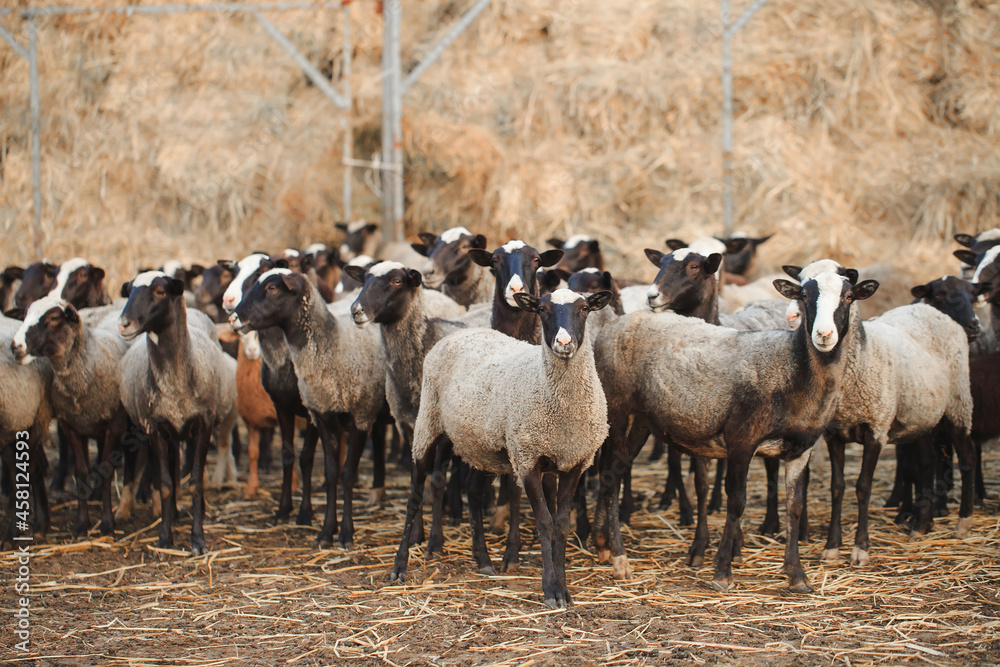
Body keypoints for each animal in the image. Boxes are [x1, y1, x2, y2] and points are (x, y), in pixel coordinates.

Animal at [11, 294, 131, 537]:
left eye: (53, 318)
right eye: (25, 314)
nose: (15, 346)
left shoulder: (115, 425)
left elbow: (106, 471)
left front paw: (107, 524)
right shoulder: (72, 427)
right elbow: (80, 473)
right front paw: (81, 525)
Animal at [118, 271, 238, 554]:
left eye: (160, 291)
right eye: (130, 291)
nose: (124, 324)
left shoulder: (204, 424)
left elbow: (195, 482)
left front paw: (198, 539)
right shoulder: (154, 428)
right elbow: (163, 483)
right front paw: (164, 538)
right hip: (164, 431)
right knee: (170, 471)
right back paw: (171, 512)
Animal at [232, 269, 387, 549]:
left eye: (272, 288)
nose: (234, 318)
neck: (334, 345)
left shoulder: (360, 416)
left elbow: (344, 473)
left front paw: (344, 533)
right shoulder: (319, 413)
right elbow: (328, 472)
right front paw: (324, 531)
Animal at [402, 288, 613, 607]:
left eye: (585, 308)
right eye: (541, 309)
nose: (564, 343)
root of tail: (461, 333)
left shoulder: (575, 462)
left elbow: (562, 525)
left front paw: (564, 591)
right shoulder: (527, 459)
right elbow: (545, 524)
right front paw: (551, 591)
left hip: (479, 443)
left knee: (473, 491)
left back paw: (483, 560)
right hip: (428, 421)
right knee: (415, 490)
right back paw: (398, 567)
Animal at [591, 270, 879, 592]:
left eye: (848, 297)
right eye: (805, 296)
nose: (824, 335)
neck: (793, 369)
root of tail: (614, 325)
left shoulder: (800, 449)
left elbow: (794, 506)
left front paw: (797, 576)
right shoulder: (742, 439)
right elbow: (736, 501)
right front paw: (722, 572)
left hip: (641, 420)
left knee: (612, 475)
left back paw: (602, 545)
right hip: (617, 410)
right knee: (611, 479)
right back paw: (619, 558)